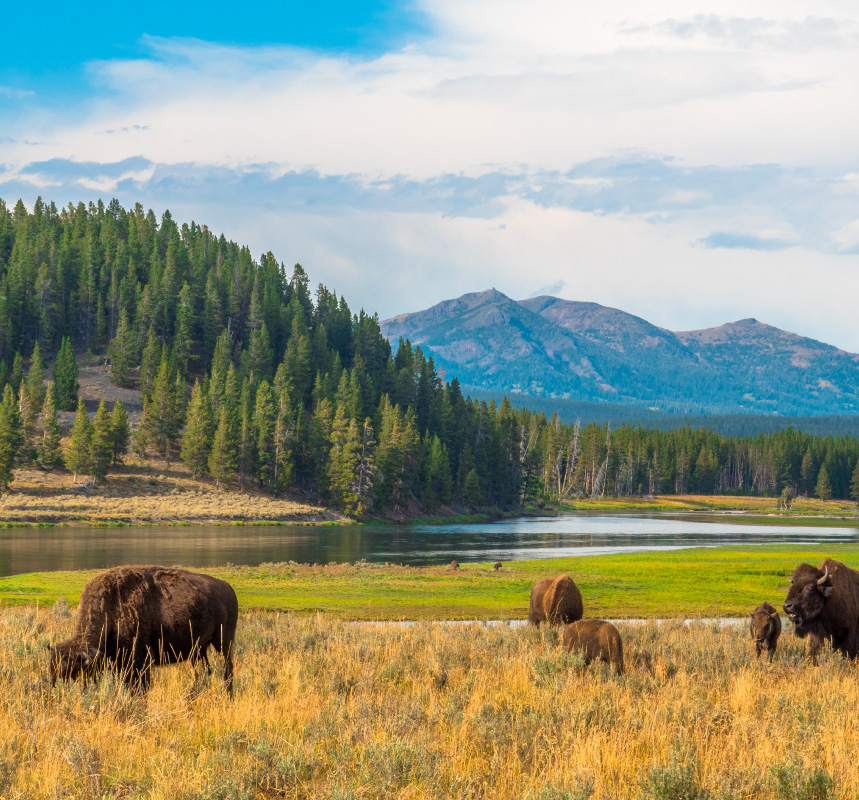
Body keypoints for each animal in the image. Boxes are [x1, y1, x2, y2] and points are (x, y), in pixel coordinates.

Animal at [50, 564, 239, 692]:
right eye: (52, 672)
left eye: (75, 674)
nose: (58, 692)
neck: (112, 607)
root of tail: (229, 588)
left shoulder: (141, 662)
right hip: (199, 649)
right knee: (204, 671)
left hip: (223, 643)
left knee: (227, 670)